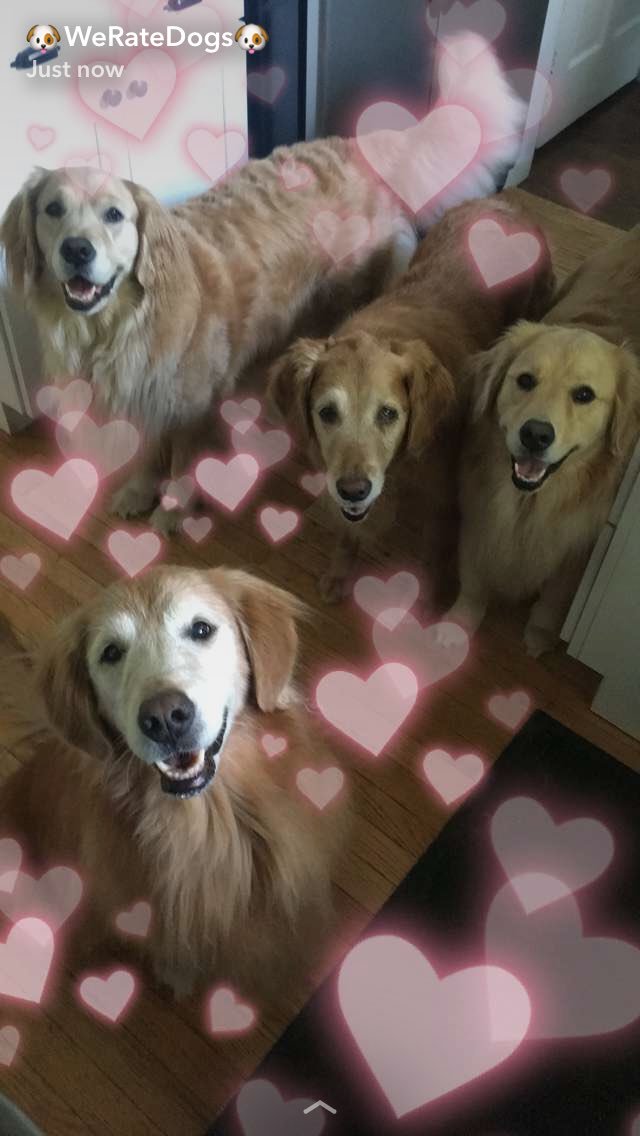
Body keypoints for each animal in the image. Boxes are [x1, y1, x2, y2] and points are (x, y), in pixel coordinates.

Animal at [1, 33, 524, 535]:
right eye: (53, 209)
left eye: (114, 215)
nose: (77, 250)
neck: (120, 326)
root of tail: (357, 145)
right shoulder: (143, 401)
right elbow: (148, 454)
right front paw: (137, 491)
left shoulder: (190, 409)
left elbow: (183, 464)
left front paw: (173, 509)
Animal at [268, 196, 554, 601]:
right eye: (327, 413)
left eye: (389, 414)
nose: (353, 489)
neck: (400, 467)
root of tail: (502, 202)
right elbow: (348, 532)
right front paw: (339, 572)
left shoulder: (442, 500)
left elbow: (432, 554)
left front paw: (428, 601)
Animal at [447, 224, 640, 656]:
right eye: (525, 380)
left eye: (584, 395)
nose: (535, 434)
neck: (529, 505)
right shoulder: (480, 517)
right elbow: (473, 579)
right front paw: (457, 626)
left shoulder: (578, 549)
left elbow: (554, 597)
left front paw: (538, 635)